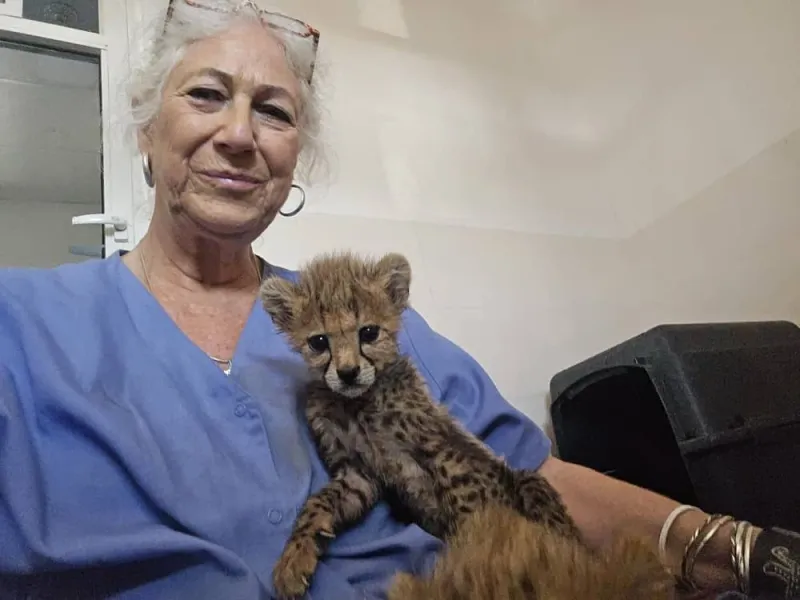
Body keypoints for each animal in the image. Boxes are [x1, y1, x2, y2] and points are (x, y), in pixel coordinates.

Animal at [259, 250, 582, 599]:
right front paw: (294, 558)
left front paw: (477, 553)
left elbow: (469, 502)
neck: (358, 402)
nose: (347, 373)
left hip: (528, 482)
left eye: (368, 333)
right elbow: (318, 504)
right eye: (319, 342)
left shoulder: (439, 445)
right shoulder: (358, 474)